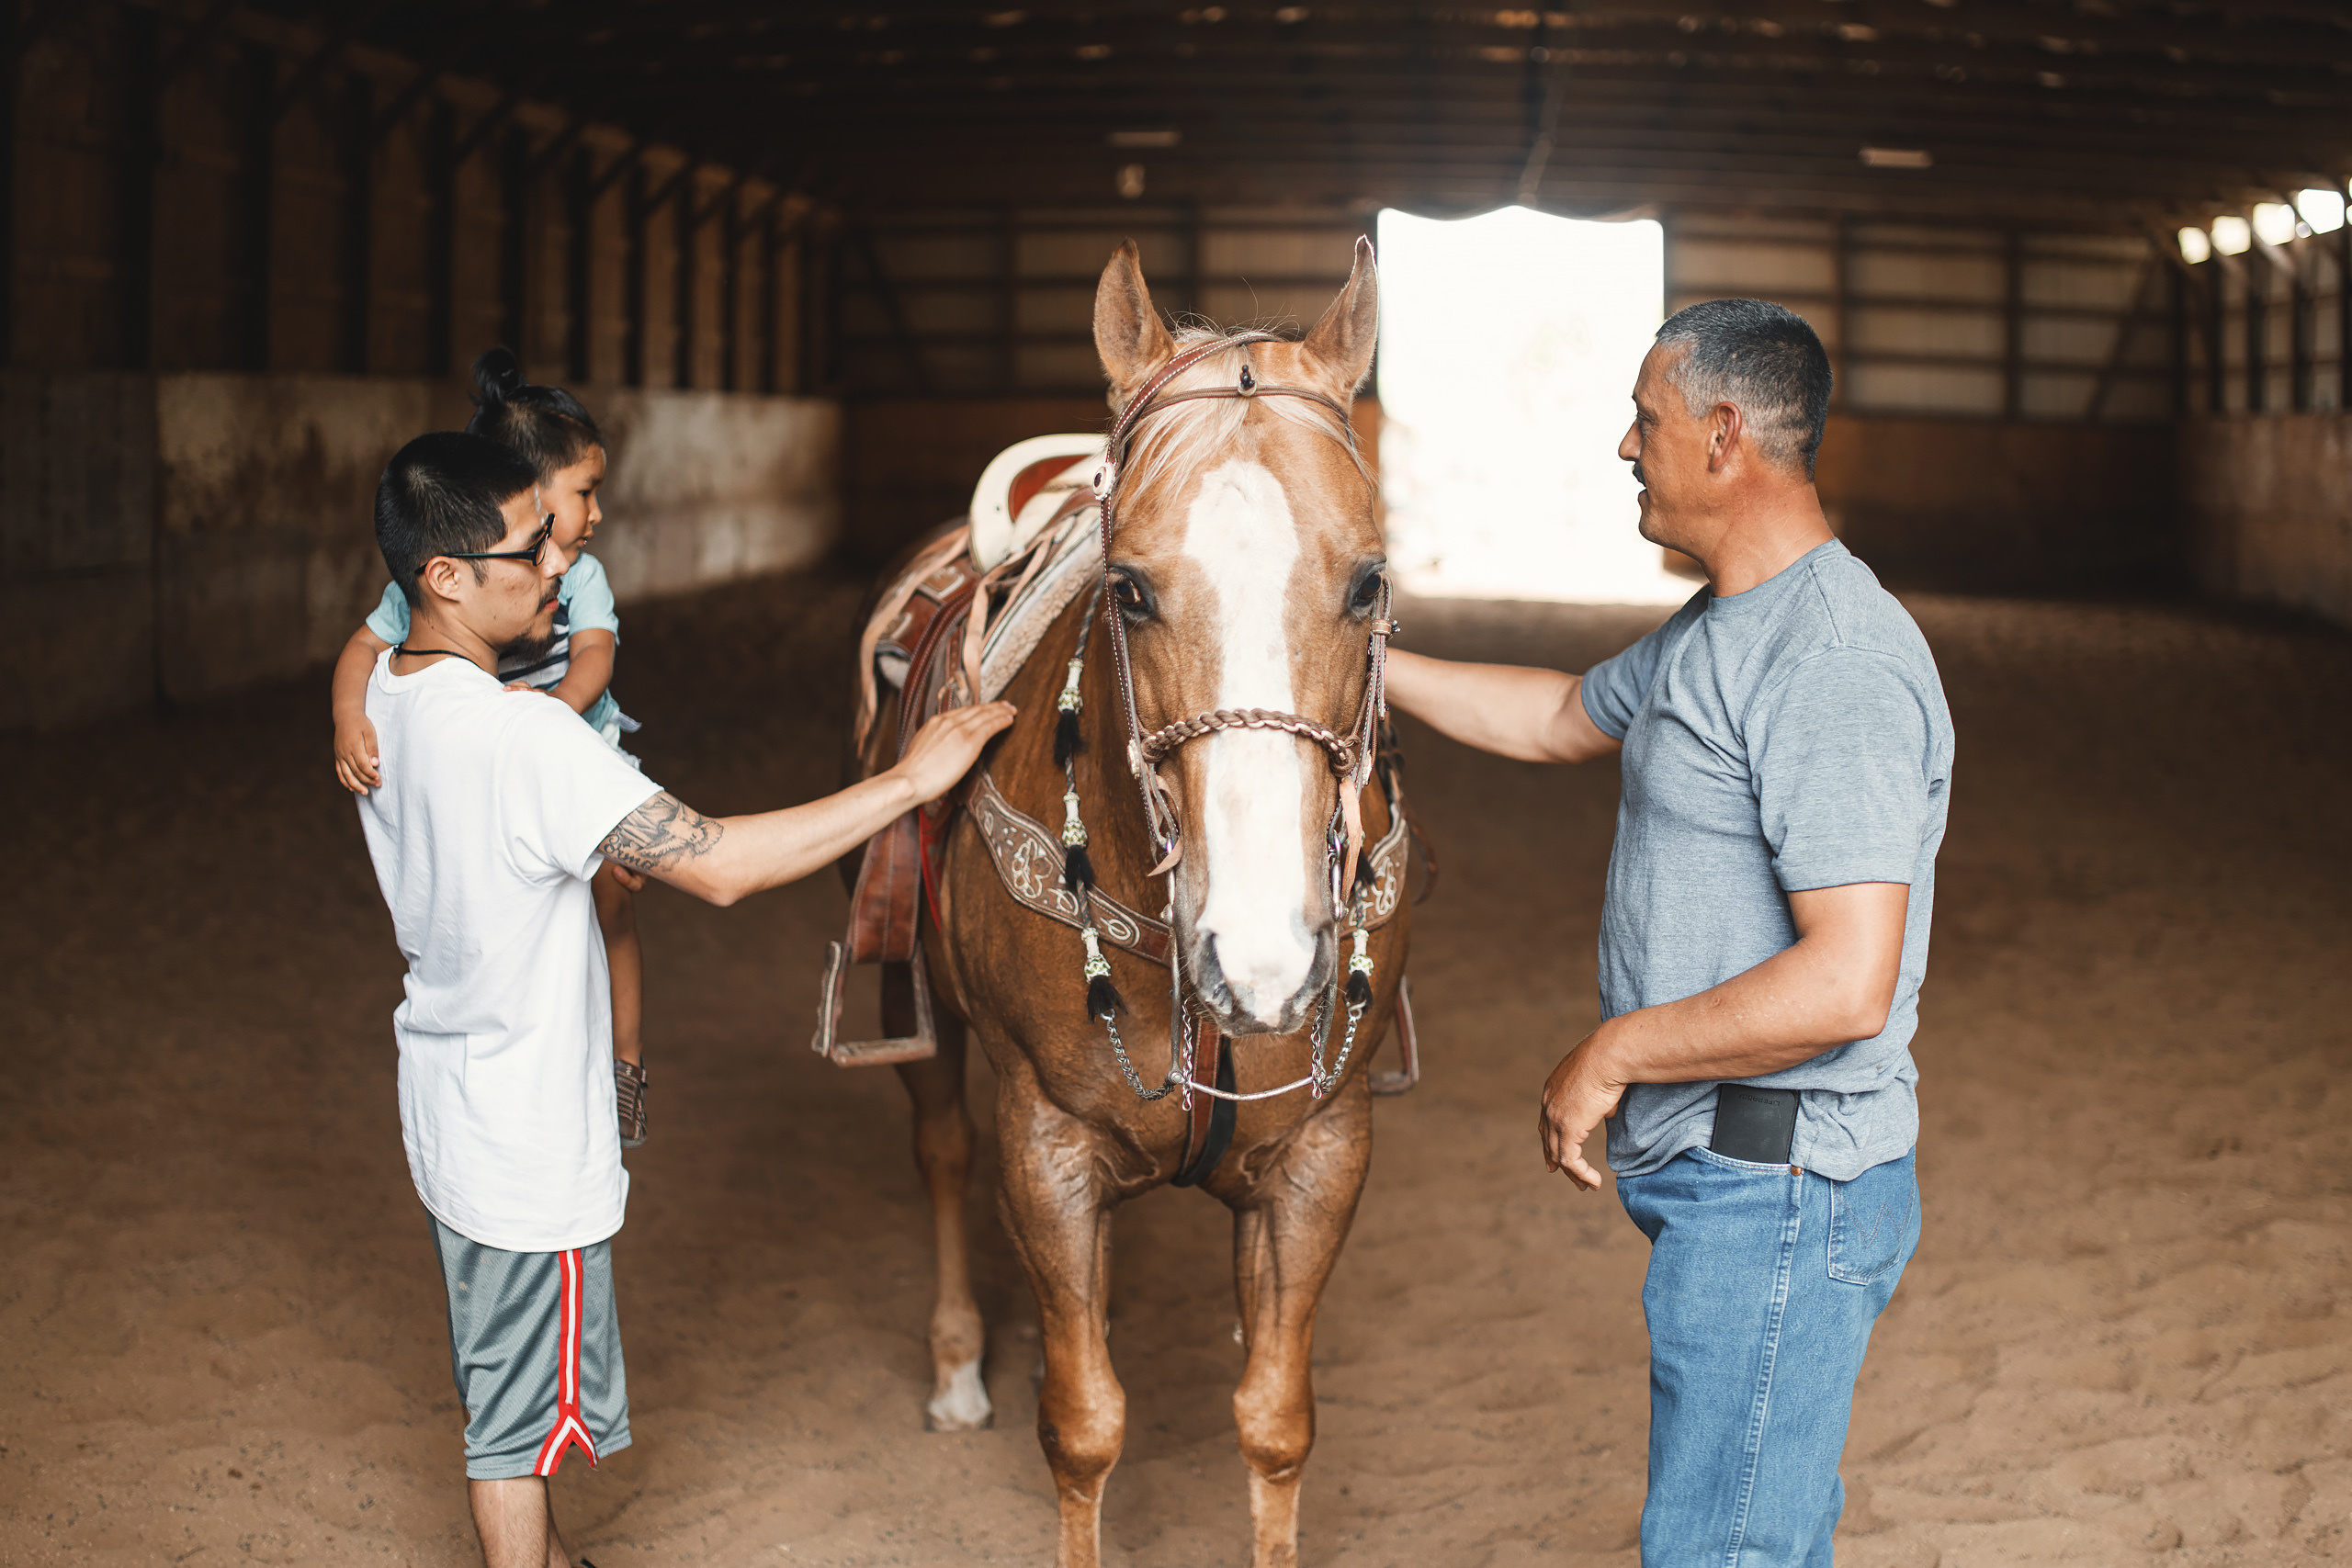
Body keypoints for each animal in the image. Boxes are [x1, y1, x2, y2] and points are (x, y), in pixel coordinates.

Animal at [845, 238, 1411, 1568]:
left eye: (1369, 582)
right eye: (1134, 590)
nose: (1260, 956)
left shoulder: (1324, 1147)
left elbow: (1275, 1417)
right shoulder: (1046, 1142)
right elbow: (1085, 1420)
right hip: (925, 1027)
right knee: (941, 1147)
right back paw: (959, 1366)